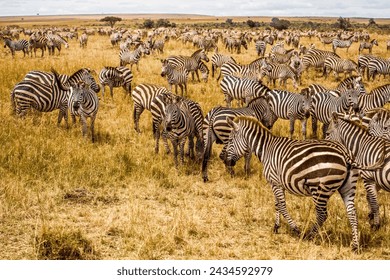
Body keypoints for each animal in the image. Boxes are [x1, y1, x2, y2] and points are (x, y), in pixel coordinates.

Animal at [224, 116, 362, 252]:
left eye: (230, 140)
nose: (226, 161)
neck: (266, 149)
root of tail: (344, 152)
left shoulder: (275, 182)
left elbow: (282, 206)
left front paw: (295, 229)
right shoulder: (278, 183)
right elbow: (277, 204)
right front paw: (276, 227)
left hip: (320, 189)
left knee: (322, 215)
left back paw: (309, 236)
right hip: (348, 188)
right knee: (352, 213)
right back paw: (355, 246)